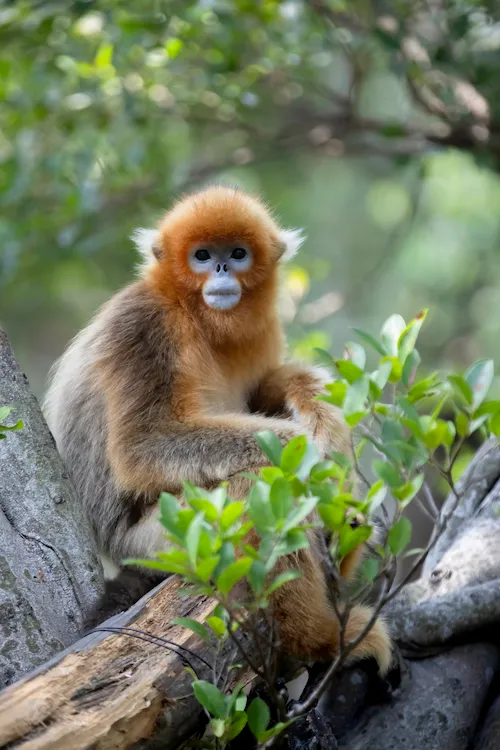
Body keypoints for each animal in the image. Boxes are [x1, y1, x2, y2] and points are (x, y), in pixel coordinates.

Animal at [43, 185, 391, 673]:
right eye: (203, 256)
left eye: (238, 253)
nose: (223, 269)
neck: (194, 315)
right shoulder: (143, 325)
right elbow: (142, 446)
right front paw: (311, 455)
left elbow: (266, 388)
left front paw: (316, 404)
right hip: (161, 541)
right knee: (256, 484)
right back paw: (318, 640)